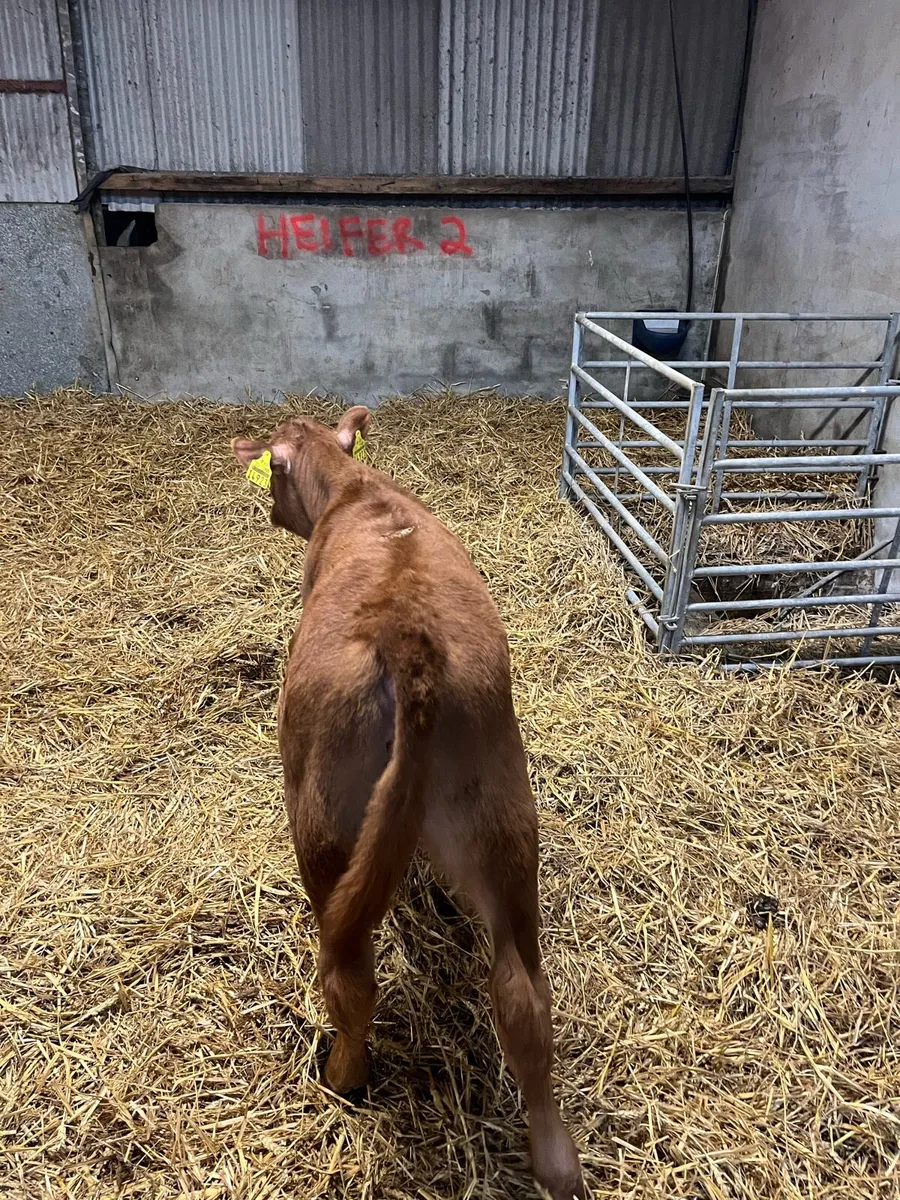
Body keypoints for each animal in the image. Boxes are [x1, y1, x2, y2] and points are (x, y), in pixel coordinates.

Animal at [232, 407, 584, 1200]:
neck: (356, 491)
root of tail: (409, 640)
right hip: (503, 818)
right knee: (523, 992)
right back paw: (557, 1161)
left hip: (322, 820)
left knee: (350, 973)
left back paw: (342, 1075)